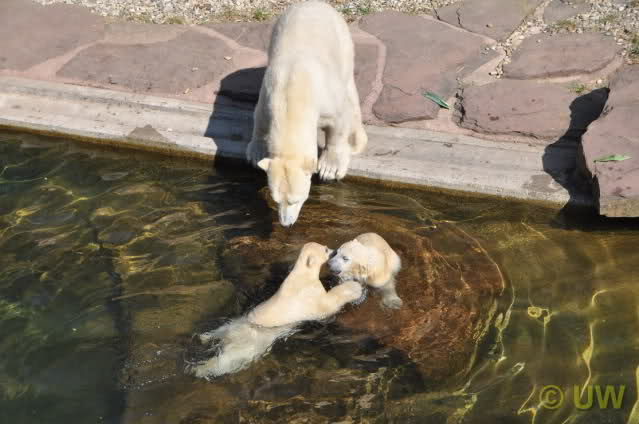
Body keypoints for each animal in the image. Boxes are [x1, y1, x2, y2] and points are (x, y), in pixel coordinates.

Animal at [186, 242, 363, 379]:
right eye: (326, 249)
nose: (334, 250)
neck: (300, 275)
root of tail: (230, 337)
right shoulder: (308, 296)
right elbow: (327, 305)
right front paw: (355, 288)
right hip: (250, 343)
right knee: (229, 360)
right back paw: (199, 370)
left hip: (236, 323)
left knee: (221, 329)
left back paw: (203, 337)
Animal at [246, 1, 368, 227]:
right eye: (276, 200)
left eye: (297, 199)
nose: (286, 223)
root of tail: (313, 3)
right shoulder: (269, 92)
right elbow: (259, 117)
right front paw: (256, 152)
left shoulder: (326, 98)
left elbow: (339, 122)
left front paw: (329, 168)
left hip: (342, 40)